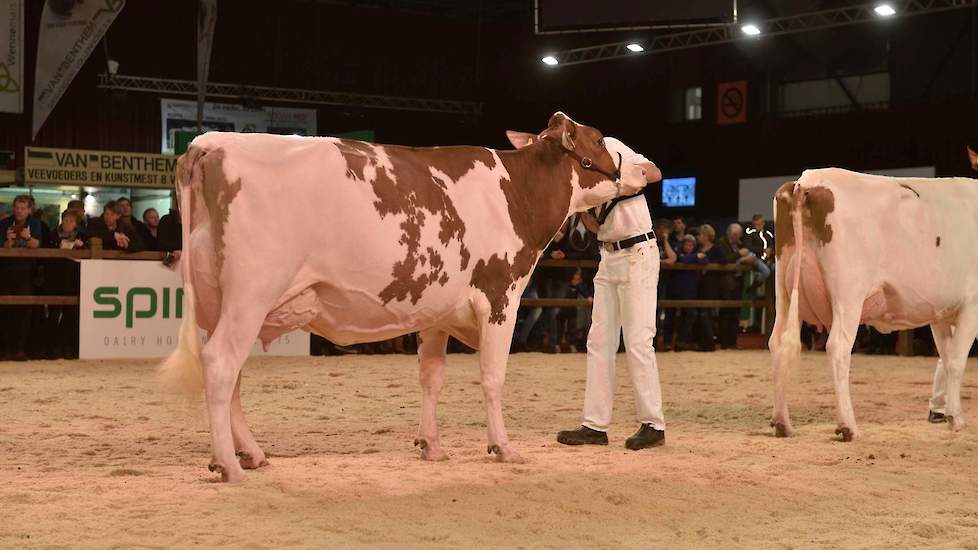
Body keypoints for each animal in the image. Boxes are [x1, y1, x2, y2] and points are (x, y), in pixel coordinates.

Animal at [160, 113, 648, 484]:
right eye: (600, 140)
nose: (648, 169)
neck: (516, 191)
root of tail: (209, 143)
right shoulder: (499, 297)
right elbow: (493, 377)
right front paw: (504, 447)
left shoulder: (436, 312)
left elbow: (431, 377)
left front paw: (431, 445)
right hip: (250, 295)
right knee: (220, 365)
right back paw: (229, 466)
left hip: (222, 303)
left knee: (231, 376)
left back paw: (251, 454)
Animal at [772, 156, 976, 444]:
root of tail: (807, 181)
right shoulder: (972, 304)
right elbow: (957, 362)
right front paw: (956, 418)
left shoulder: (941, 313)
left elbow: (947, 361)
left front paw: (949, 414)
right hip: (849, 293)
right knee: (838, 347)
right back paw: (848, 427)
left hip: (785, 290)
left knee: (778, 342)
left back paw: (782, 423)